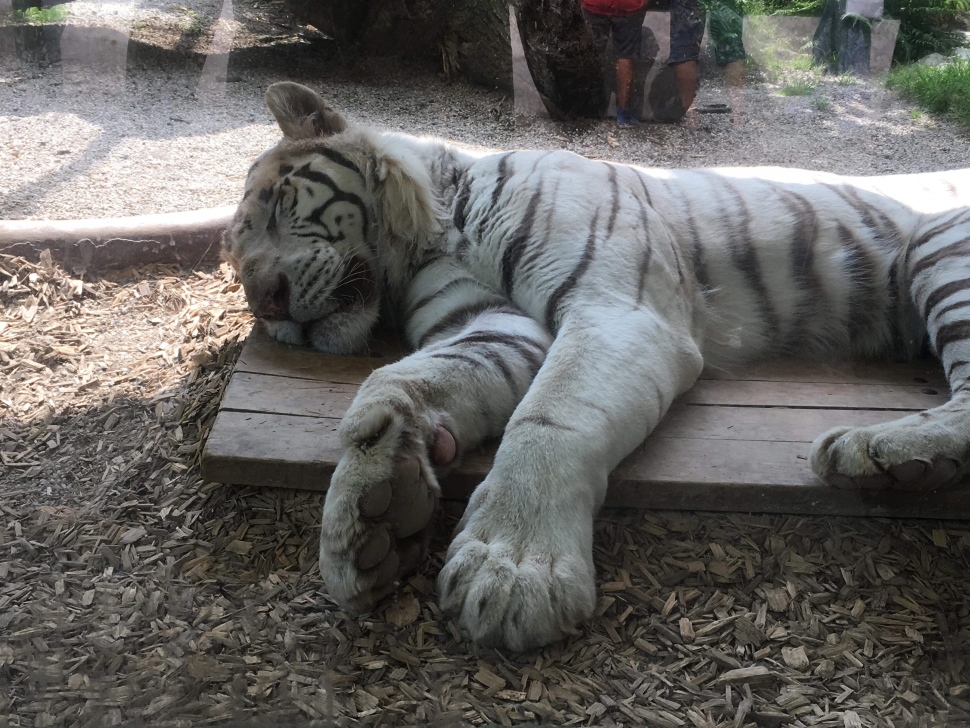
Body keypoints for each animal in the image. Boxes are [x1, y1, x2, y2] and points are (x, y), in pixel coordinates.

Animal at [223, 82, 968, 652]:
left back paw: (879, 451)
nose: (267, 301)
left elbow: (547, 419)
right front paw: (371, 513)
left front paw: (512, 572)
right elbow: (397, 380)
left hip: (941, 246)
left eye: (280, 206)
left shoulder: (619, 305)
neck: (434, 229)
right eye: (234, 259)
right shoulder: (493, 327)